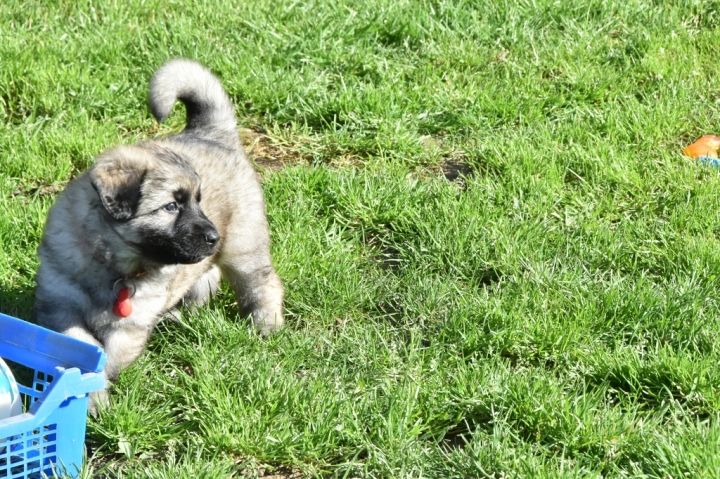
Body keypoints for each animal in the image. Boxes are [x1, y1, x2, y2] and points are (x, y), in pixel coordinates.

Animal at [33, 59, 284, 406]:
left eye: (197, 201)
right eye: (171, 206)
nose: (213, 236)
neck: (112, 263)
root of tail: (212, 132)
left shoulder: (129, 326)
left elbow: (105, 358)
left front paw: (94, 395)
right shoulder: (61, 306)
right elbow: (83, 346)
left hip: (244, 246)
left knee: (262, 283)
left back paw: (266, 325)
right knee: (205, 279)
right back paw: (178, 315)